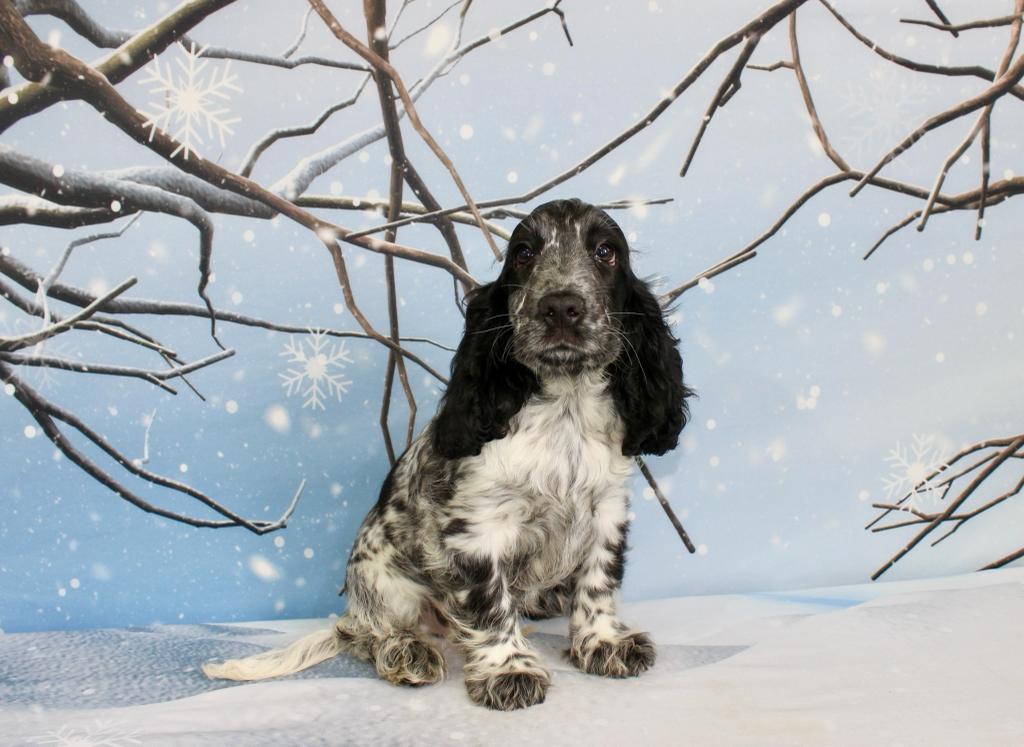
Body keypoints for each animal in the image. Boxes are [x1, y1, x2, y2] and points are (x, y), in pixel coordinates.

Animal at [203, 197, 692, 709]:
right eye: (523, 253)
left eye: (605, 252)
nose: (561, 306)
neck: (565, 407)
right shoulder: (478, 528)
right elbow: (490, 603)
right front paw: (508, 669)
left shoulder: (606, 511)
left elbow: (599, 583)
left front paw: (603, 643)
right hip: (384, 584)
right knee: (365, 633)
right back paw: (407, 652)